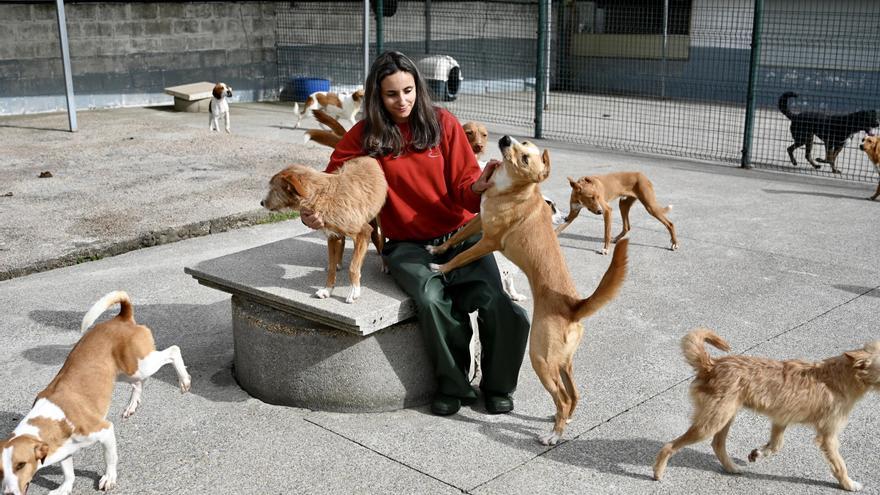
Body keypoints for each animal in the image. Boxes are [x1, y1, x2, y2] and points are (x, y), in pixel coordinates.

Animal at [0, 290, 192, 495]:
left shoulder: (105, 431)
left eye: (21, 465)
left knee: (173, 351)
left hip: (140, 365)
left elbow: (110, 459)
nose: (8, 494)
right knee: (138, 384)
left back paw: (184, 380)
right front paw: (64, 487)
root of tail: (121, 318)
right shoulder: (63, 450)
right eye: (0, 471)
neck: (51, 419)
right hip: (122, 373)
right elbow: (68, 472)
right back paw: (132, 406)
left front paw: (109, 478)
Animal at [260, 161, 386, 304]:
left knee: (380, 240)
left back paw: (384, 264)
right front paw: (327, 289)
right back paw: (339, 263)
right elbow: (331, 267)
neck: (322, 194)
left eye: (274, 189)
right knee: (343, 242)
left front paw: (354, 291)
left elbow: (353, 267)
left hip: (379, 220)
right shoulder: (332, 236)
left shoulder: (363, 232)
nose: (261, 202)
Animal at [424, 138, 624, 448]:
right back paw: (562, 422)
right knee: (574, 395)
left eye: (526, 159)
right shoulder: (478, 221)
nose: (505, 139)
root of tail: (574, 305)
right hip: (563, 363)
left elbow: (461, 257)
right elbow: (455, 237)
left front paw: (441, 266)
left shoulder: (488, 241)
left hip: (540, 358)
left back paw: (553, 434)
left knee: (563, 398)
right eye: (524, 144)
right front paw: (437, 249)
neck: (512, 188)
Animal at [652, 330, 880, 492]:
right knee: (670, 446)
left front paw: (759, 453)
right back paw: (658, 472)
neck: (842, 375)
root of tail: (712, 364)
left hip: (724, 417)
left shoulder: (780, 419)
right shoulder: (828, 436)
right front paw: (848, 484)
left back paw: (732, 468)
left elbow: (776, 445)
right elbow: (840, 464)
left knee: (717, 444)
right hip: (711, 422)